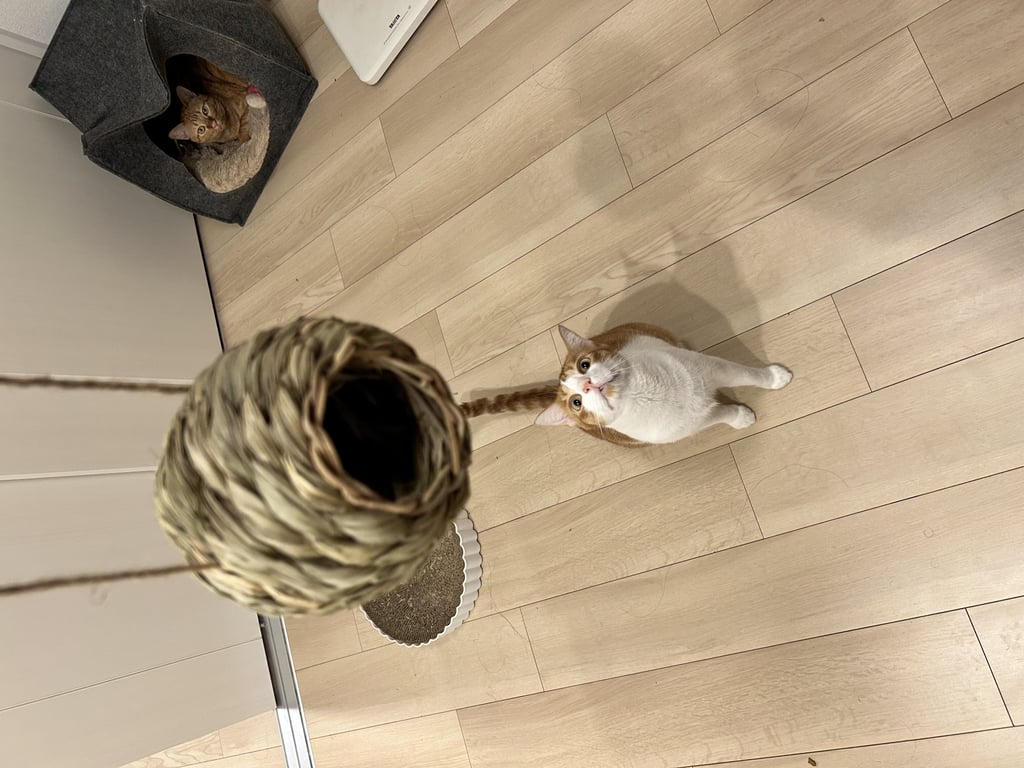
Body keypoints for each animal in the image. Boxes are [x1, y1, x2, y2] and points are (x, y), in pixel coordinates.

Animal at [512, 322, 791, 447]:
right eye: (576, 402)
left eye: (584, 365)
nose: (589, 384)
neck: (648, 393)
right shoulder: (691, 424)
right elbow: (723, 413)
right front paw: (742, 417)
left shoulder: (712, 367)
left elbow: (748, 374)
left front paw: (776, 377)